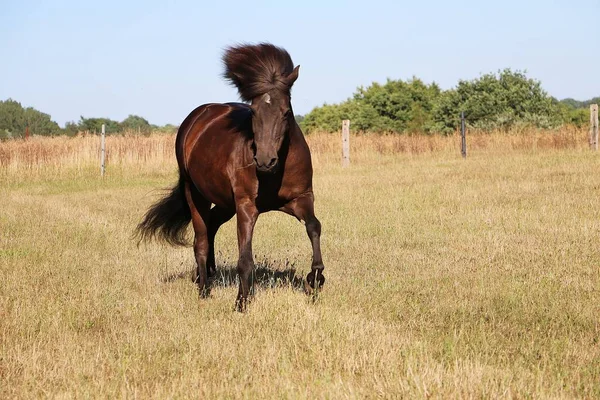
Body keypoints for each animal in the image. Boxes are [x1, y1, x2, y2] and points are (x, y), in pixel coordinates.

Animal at [137, 44, 326, 312]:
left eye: (286, 112)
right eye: (253, 111)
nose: (265, 160)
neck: (275, 173)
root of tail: (196, 118)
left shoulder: (302, 199)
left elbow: (314, 227)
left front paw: (315, 279)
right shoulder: (246, 207)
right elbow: (245, 257)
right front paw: (241, 302)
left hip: (225, 203)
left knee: (212, 225)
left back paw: (206, 273)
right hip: (196, 195)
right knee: (201, 240)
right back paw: (204, 288)